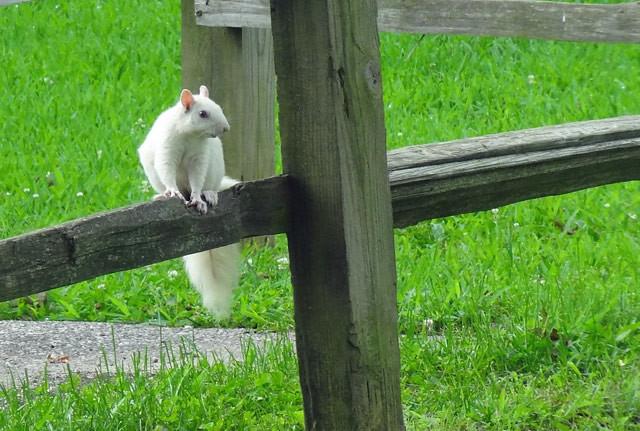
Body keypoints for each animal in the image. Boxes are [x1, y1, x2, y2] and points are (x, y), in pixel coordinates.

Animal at [138, 85, 240, 320]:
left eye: (219, 107)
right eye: (202, 114)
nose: (226, 128)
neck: (190, 136)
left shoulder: (199, 157)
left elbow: (197, 178)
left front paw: (197, 198)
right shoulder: (167, 148)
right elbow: (166, 169)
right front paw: (171, 191)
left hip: (215, 168)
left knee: (208, 184)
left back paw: (208, 195)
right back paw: (163, 195)